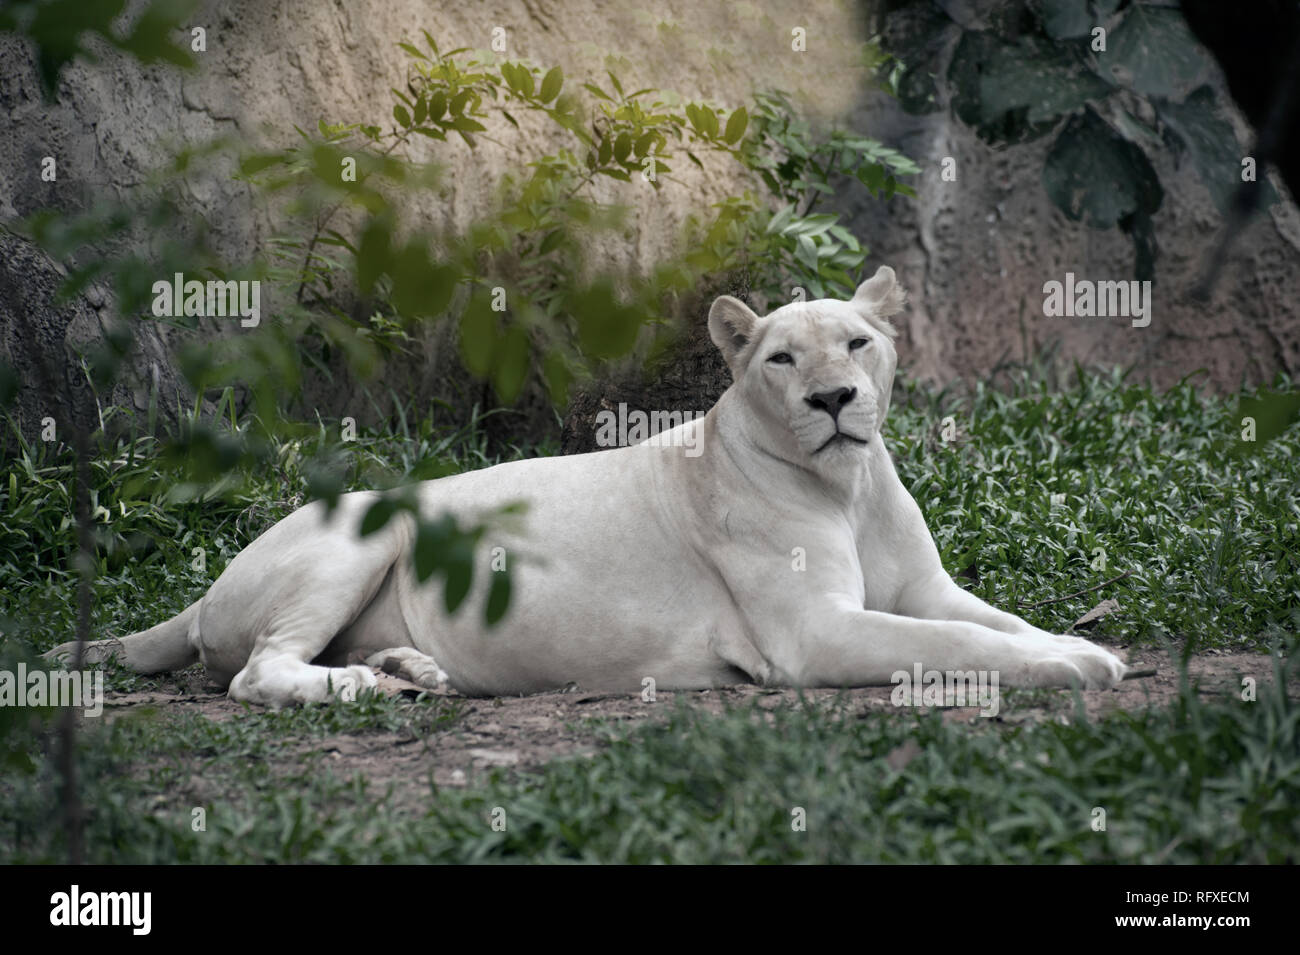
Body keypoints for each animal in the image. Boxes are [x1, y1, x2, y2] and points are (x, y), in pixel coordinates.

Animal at [47, 266, 1126, 705]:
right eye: (782, 358)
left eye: (858, 341)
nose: (832, 398)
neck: (846, 484)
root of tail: (203, 594)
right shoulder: (813, 633)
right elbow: (958, 644)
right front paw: (1073, 666)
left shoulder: (923, 587)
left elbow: (996, 620)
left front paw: (1081, 645)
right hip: (355, 534)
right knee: (256, 672)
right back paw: (361, 685)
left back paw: (413, 668)